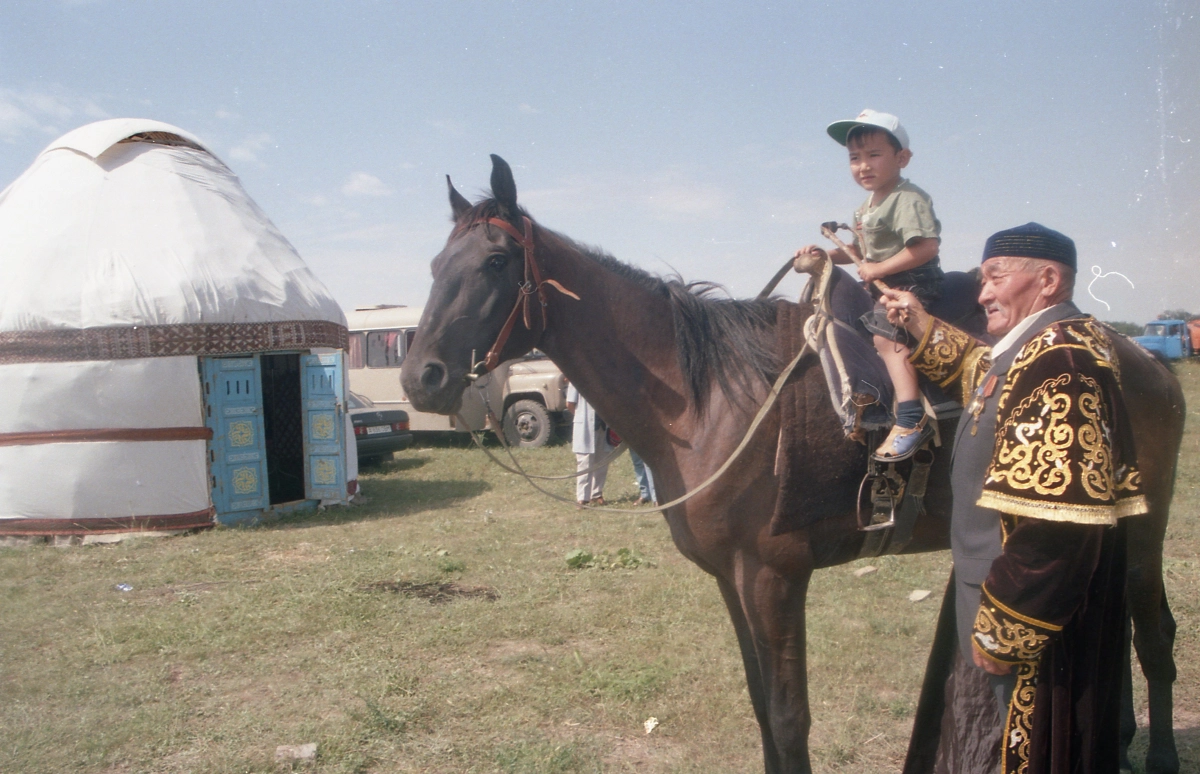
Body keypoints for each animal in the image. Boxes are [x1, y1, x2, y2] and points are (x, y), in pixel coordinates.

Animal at [400, 153, 1180, 768]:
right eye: (436, 266)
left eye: (496, 262)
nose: (421, 377)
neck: (705, 398)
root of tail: (1143, 359)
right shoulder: (731, 577)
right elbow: (759, 705)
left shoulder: (775, 576)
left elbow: (787, 715)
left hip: (1140, 531)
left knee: (1154, 632)